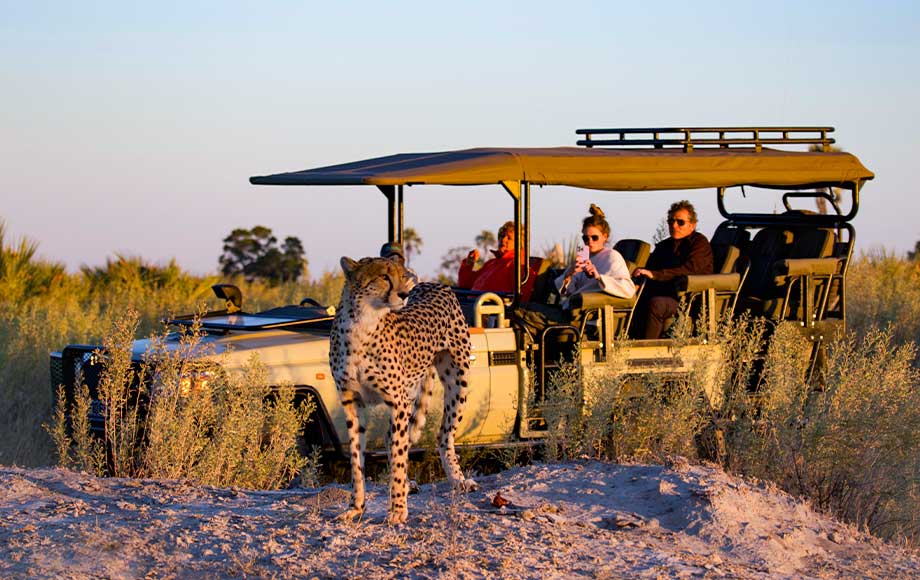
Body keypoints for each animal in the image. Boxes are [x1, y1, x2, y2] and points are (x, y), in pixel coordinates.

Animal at [329, 255, 477, 524]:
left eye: (401, 276)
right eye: (384, 277)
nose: (404, 293)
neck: (360, 325)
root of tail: (433, 283)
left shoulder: (397, 402)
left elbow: (399, 457)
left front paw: (398, 509)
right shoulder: (351, 401)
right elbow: (357, 459)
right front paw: (356, 506)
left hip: (457, 381)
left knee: (443, 435)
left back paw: (457, 480)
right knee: (393, 438)